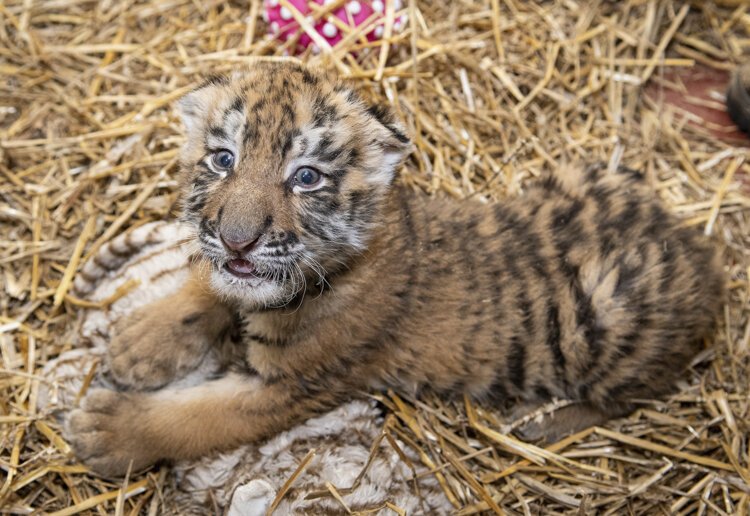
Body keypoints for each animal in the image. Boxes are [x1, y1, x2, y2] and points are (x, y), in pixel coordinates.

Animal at [66, 62, 724, 477]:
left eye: (306, 177)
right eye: (223, 159)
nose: (237, 239)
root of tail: (697, 248)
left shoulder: (292, 386)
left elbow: (201, 417)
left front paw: (107, 431)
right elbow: (208, 286)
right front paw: (138, 342)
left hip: (610, 320)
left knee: (626, 395)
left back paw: (537, 422)